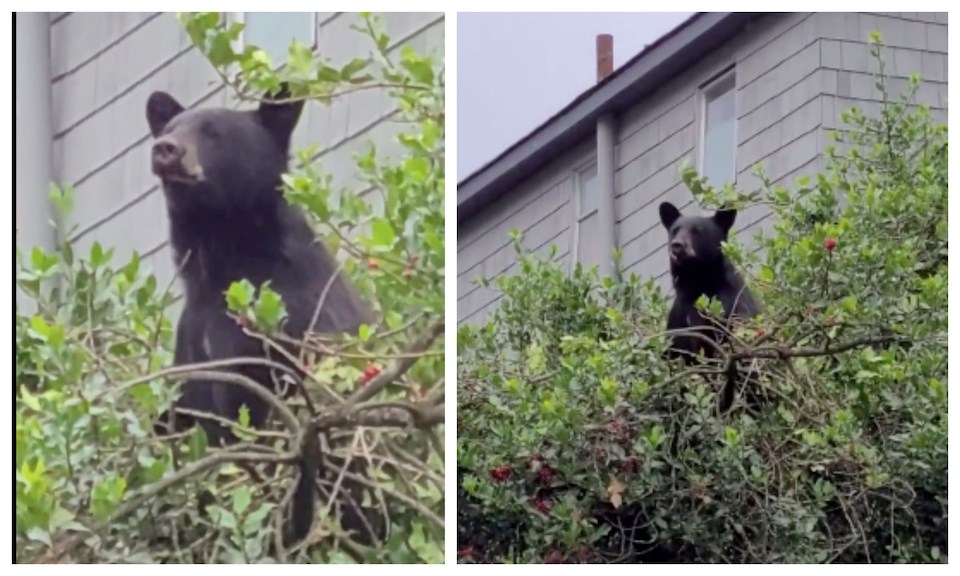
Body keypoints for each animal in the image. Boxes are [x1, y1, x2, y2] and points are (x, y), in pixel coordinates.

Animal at [145, 84, 382, 548]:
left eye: (214, 131)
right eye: (169, 127)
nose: (165, 149)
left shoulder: (290, 321)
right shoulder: (193, 337)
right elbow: (184, 412)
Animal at [656, 200, 760, 412]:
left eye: (698, 231)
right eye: (675, 230)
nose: (677, 246)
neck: (701, 280)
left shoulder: (733, 304)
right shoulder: (684, 316)